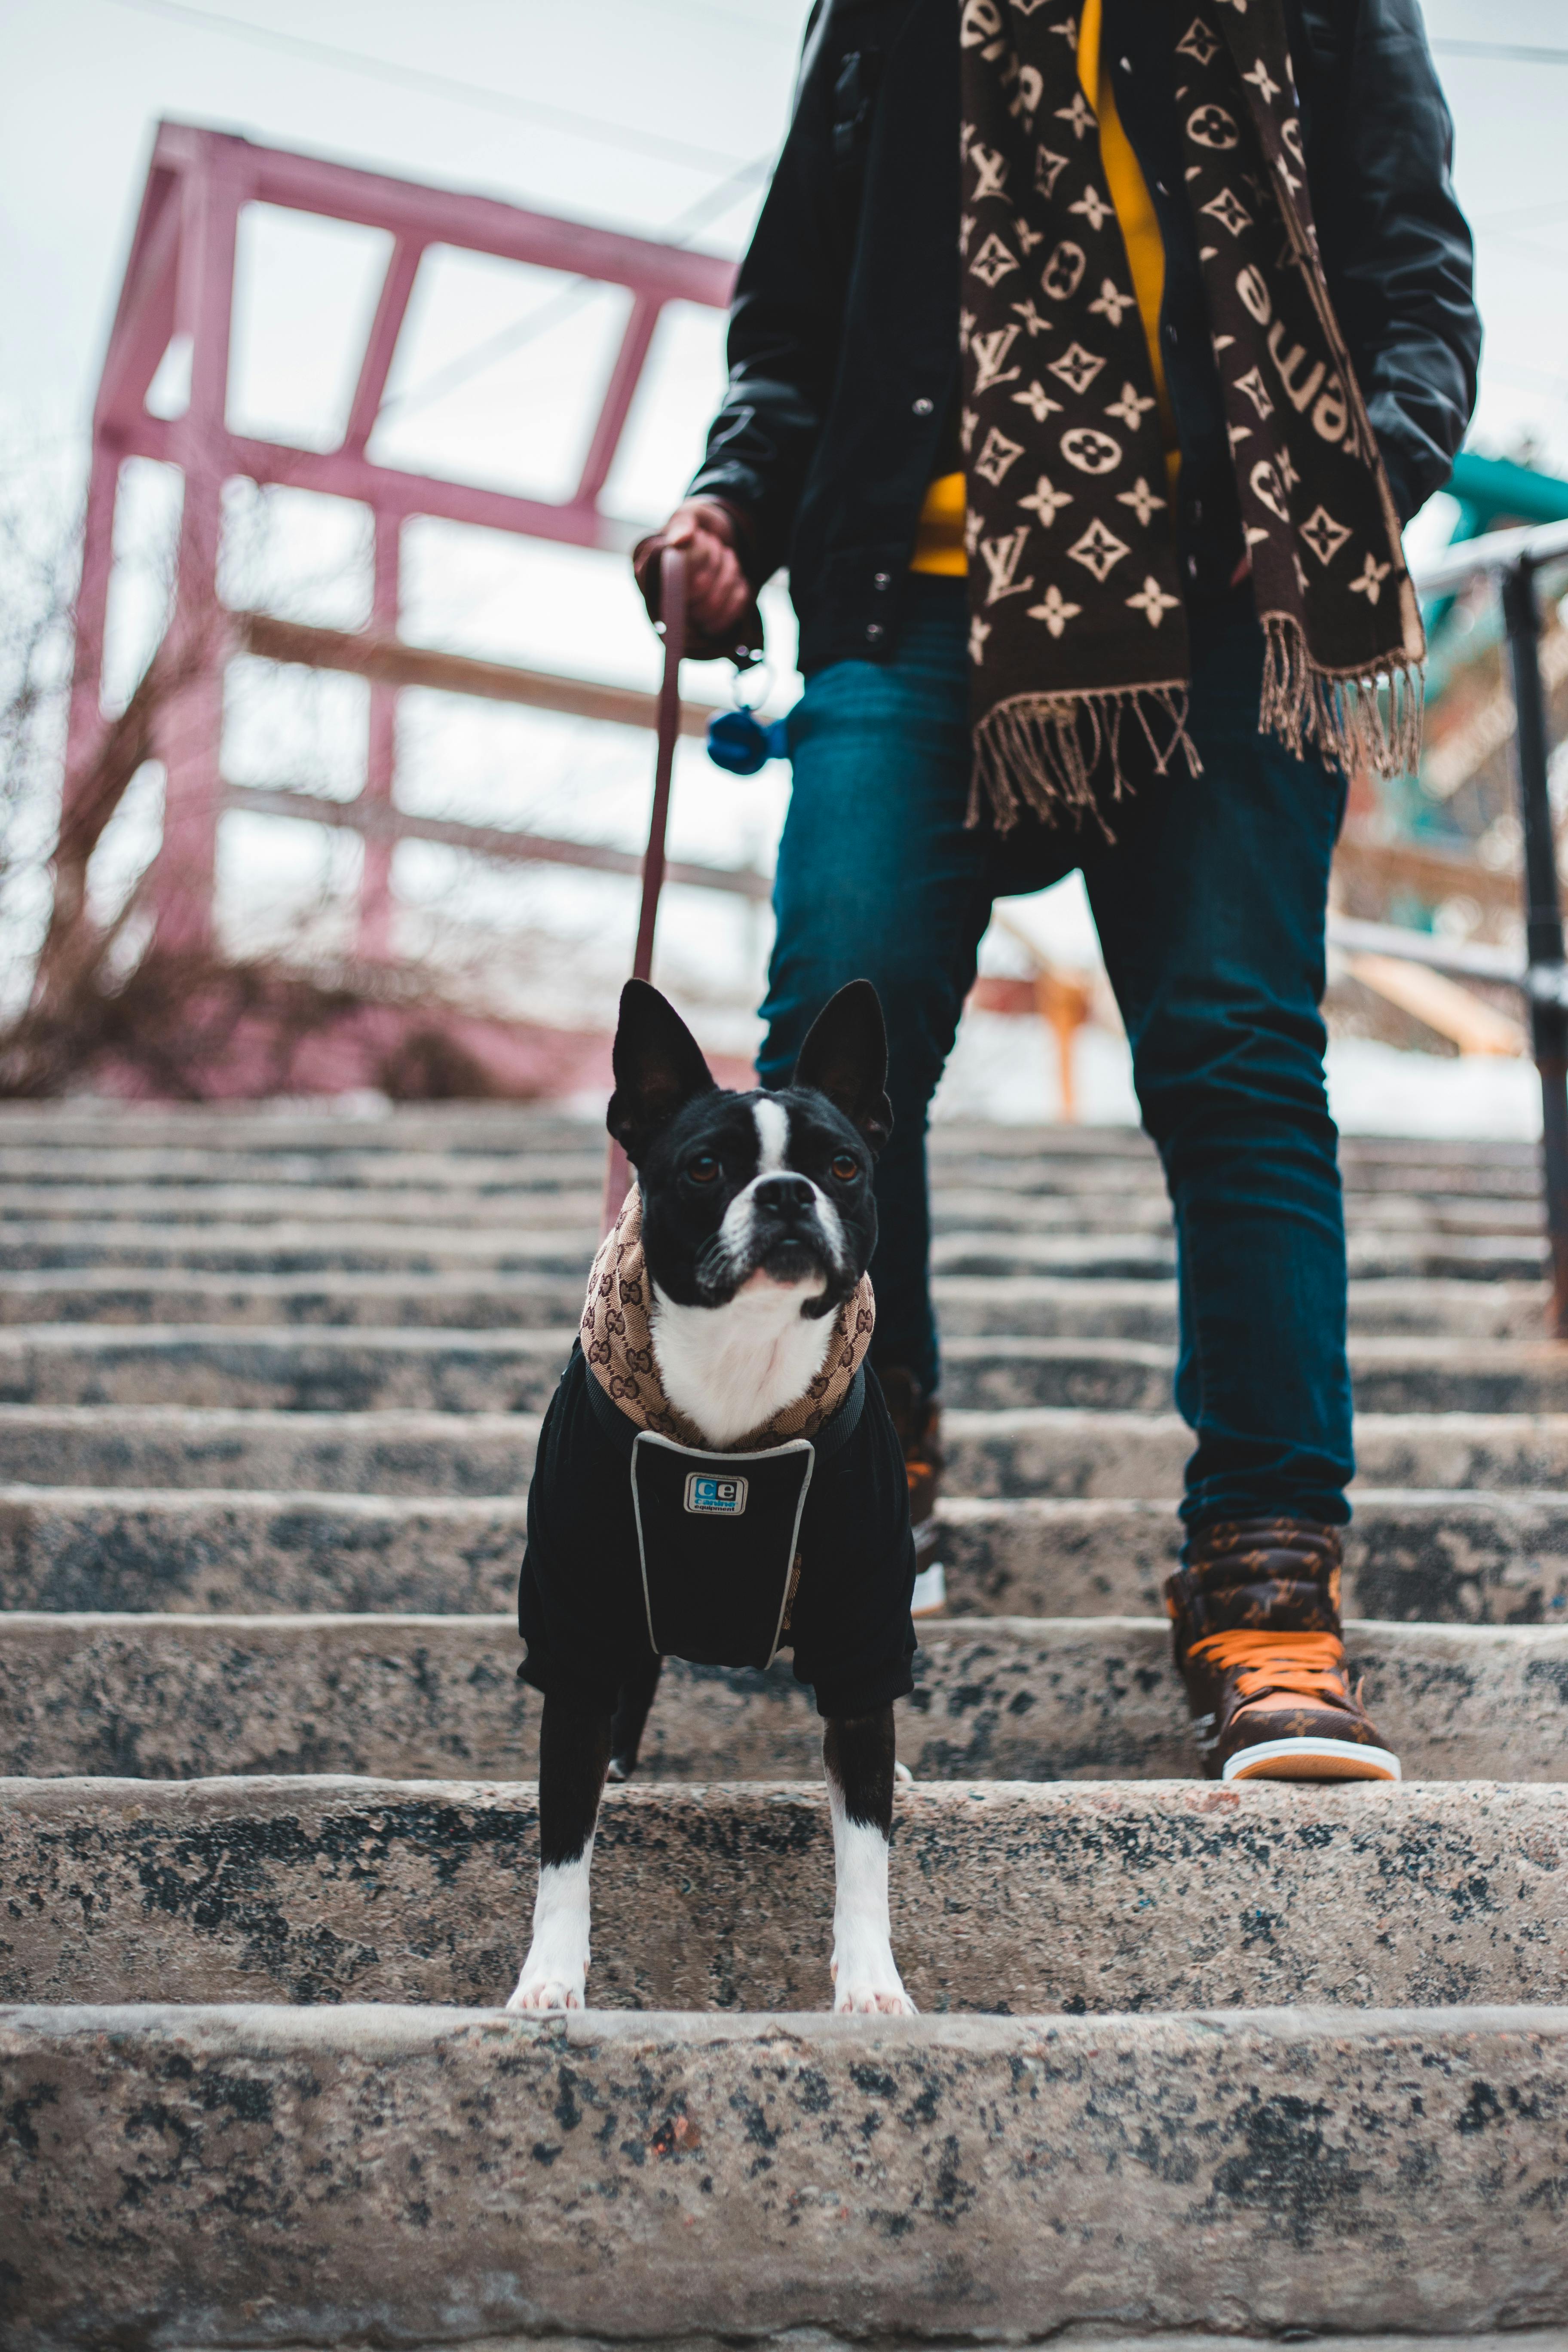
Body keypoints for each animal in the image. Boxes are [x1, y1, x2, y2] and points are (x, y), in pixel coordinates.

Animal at [510, 974, 921, 2022]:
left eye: (843, 1167)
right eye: (703, 1170)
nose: (785, 1194)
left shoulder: (864, 1631)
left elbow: (865, 1846)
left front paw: (871, 1986)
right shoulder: (575, 1626)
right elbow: (563, 1841)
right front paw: (549, 1980)